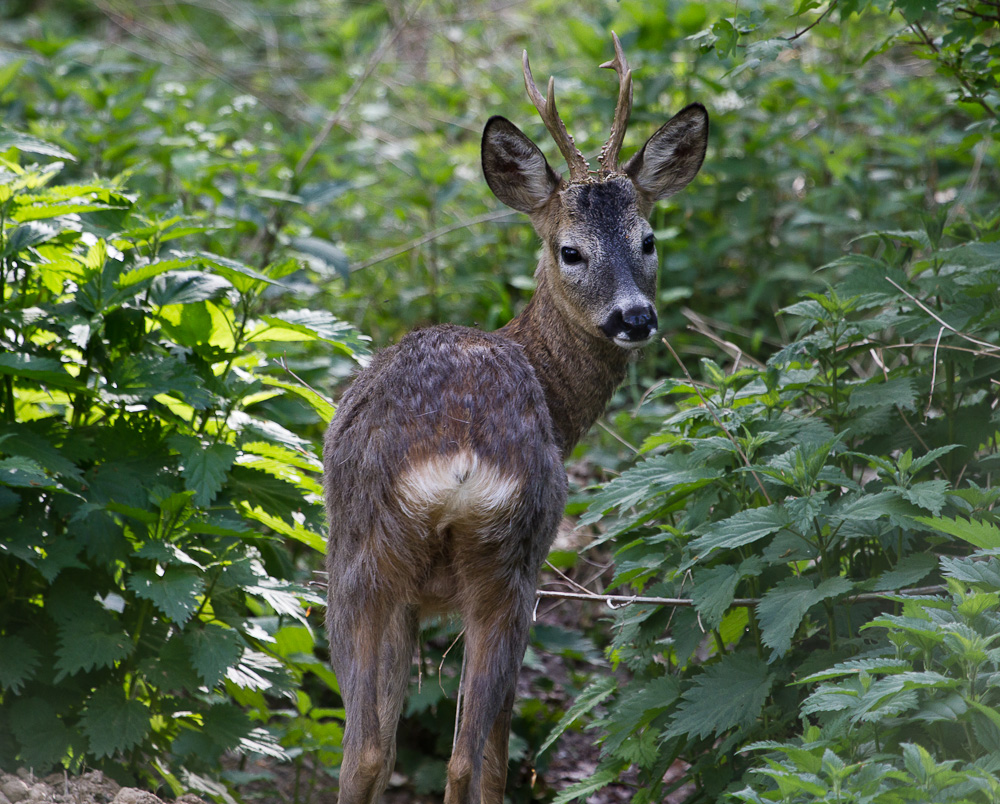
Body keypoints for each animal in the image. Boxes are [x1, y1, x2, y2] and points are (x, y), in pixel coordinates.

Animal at [324, 34, 708, 804]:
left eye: (649, 239)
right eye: (571, 250)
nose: (635, 318)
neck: (555, 394)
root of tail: (459, 462)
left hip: (385, 566)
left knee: (377, 750)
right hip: (503, 562)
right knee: (452, 754)